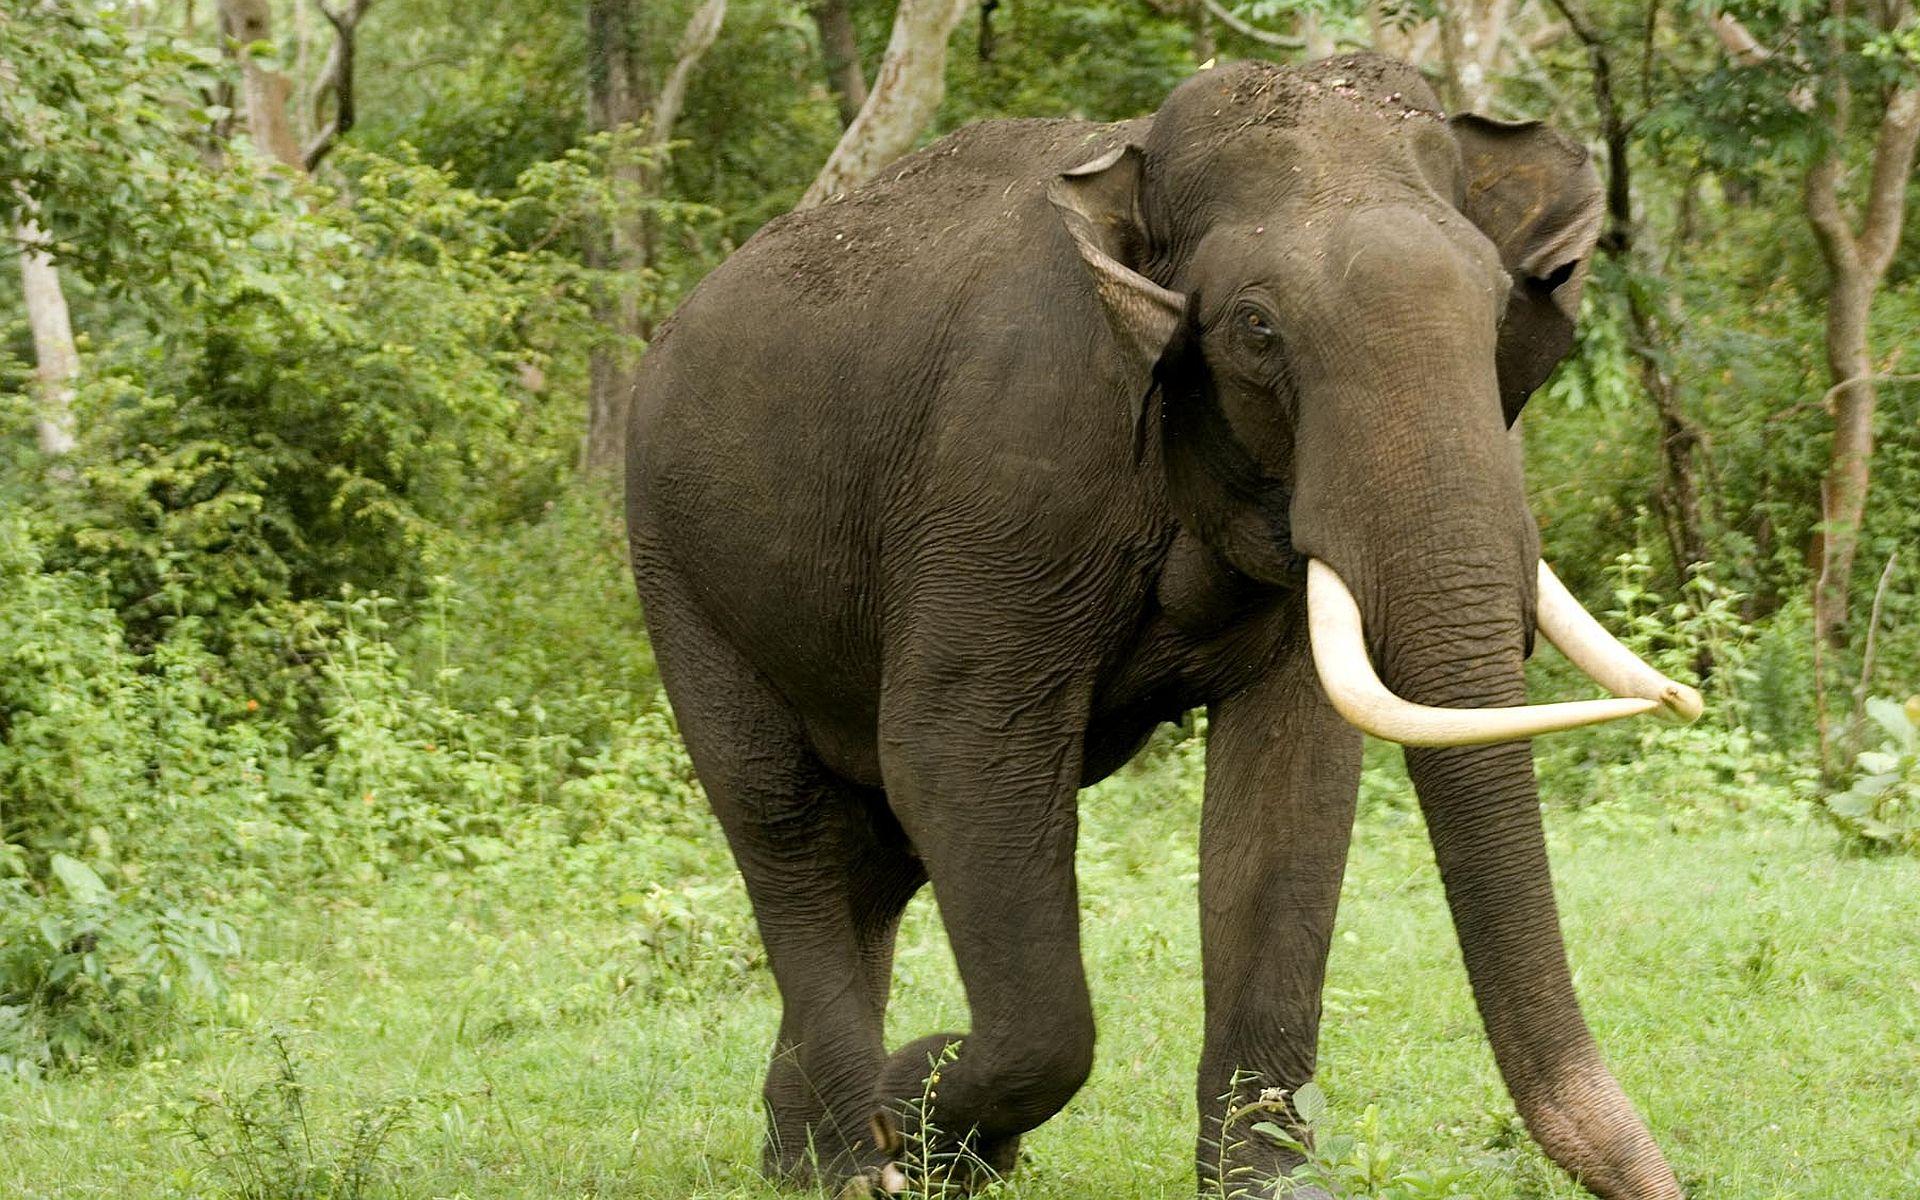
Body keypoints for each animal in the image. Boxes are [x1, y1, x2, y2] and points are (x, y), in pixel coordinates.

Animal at [626, 52, 1703, 1199]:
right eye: (1257, 328)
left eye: (1499, 305)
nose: (1664, 1183)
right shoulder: (999, 475)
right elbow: (960, 752)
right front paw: (926, 1113)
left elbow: (1290, 787)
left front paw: (1266, 1186)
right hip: (677, 568)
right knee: (784, 822)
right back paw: (855, 1166)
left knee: (872, 861)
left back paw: (807, 1156)